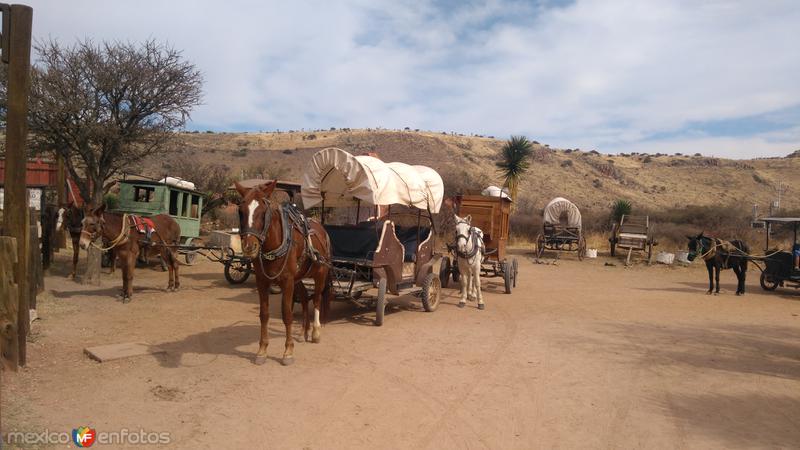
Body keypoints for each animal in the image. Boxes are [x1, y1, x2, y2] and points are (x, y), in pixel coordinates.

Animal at [234, 179, 332, 366]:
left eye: (263, 212)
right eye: (241, 211)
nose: (249, 247)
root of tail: (322, 230)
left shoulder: (287, 281)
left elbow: (287, 314)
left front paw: (288, 352)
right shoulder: (262, 281)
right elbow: (264, 314)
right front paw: (262, 351)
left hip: (320, 273)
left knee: (316, 298)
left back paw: (315, 332)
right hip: (298, 278)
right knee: (304, 298)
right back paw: (303, 331)